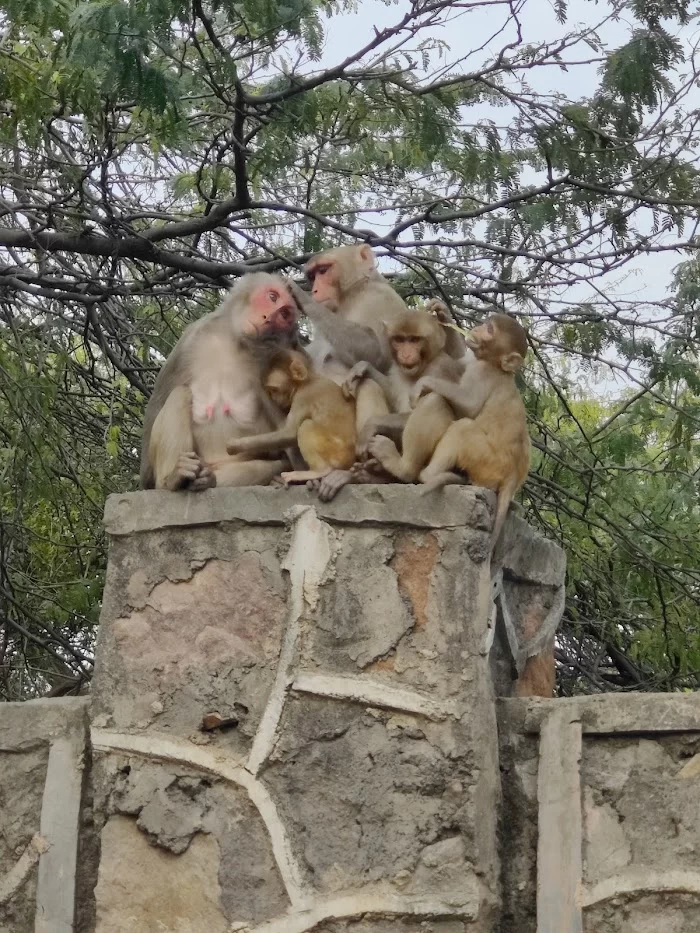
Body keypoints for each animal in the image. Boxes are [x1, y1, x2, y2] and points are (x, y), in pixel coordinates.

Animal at [139, 274, 298, 492]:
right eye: (272, 296)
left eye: (284, 314)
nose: (268, 318)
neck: (237, 343)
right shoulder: (193, 337)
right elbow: (160, 400)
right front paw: (148, 480)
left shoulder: (276, 358)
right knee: (180, 393)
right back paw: (174, 480)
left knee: (276, 463)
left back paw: (210, 479)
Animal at [226, 346, 356, 484]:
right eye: (271, 391)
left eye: (274, 389)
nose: (274, 398)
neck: (309, 380)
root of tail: (351, 459)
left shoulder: (303, 396)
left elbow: (290, 433)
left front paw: (236, 445)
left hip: (336, 452)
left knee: (306, 426)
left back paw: (318, 471)